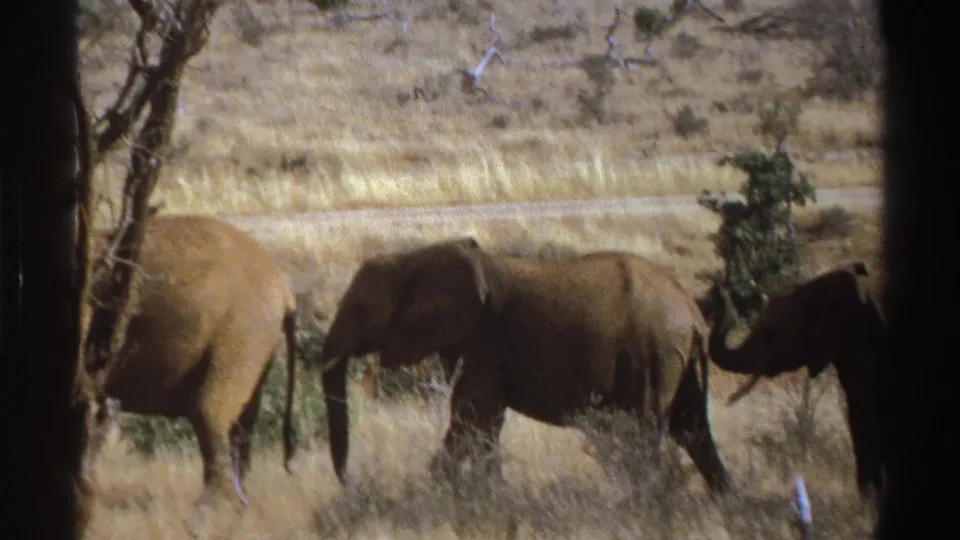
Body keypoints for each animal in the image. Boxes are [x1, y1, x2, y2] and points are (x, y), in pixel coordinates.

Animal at [316, 237, 733, 493]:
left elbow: (474, 418)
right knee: (693, 431)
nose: (350, 483)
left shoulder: (485, 339)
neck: (415, 256)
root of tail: (693, 314)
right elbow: (482, 423)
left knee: (645, 434)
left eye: (361, 309)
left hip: (653, 354)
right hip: (675, 360)